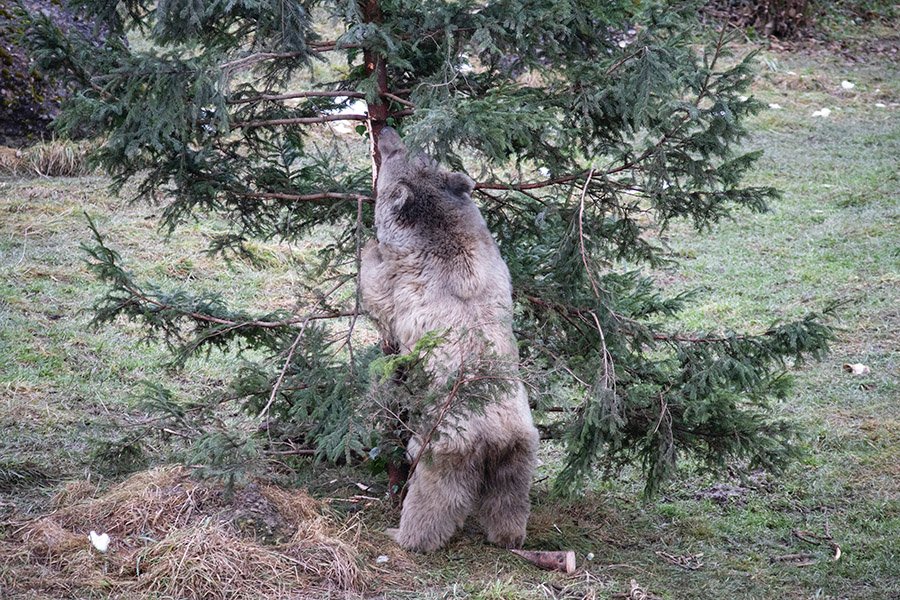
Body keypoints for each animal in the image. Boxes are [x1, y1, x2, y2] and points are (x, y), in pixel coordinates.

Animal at [360, 126, 540, 552]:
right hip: (521, 449)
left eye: (394, 156)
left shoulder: (404, 277)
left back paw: (405, 534)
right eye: (414, 148)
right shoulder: (490, 251)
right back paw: (509, 534)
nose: (386, 130)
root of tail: (493, 438)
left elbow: (379, 294)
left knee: (434, 498)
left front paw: (367, 248)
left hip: (440, 449)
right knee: (509, 497)